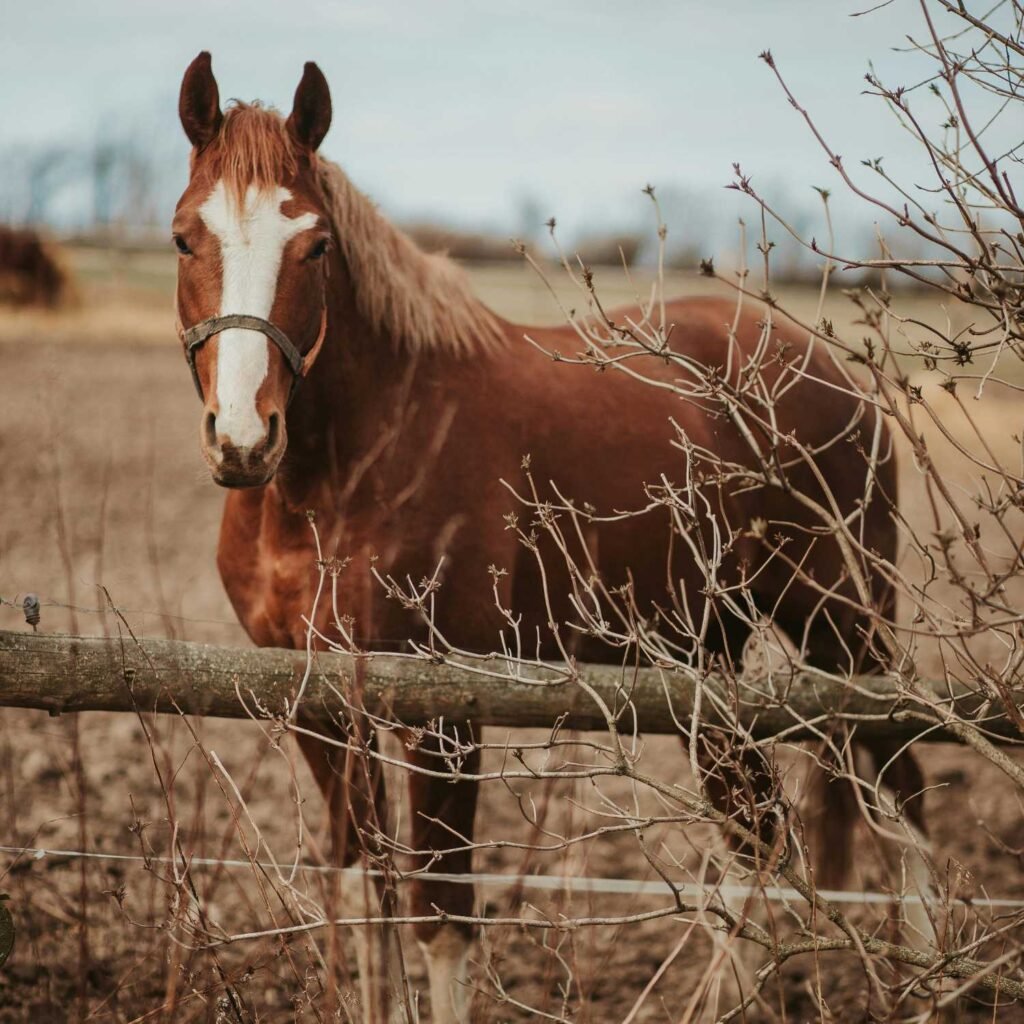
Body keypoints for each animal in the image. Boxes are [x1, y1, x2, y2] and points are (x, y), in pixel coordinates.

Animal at [172, 53, 927, 1022]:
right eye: (184, 238)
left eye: (317, 247)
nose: (242, 439)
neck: (348, 468)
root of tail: (832, 372)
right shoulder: (314, 701)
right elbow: (366, 896)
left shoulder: (443, 714)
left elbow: (440, 917)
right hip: (705, 662)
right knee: (758, 830)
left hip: (843, 628)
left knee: (900, 798)